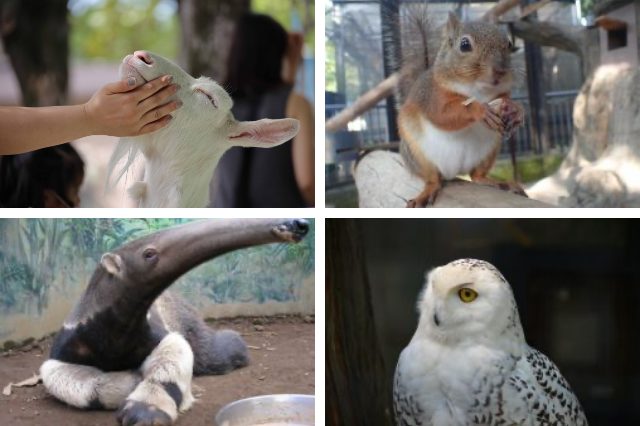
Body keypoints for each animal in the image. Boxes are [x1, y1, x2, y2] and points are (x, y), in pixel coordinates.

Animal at [400, 11, 524, 208]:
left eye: (509, 44)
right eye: (464, 45)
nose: (500, 70)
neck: (477, 90)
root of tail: (454, 171)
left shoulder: (502, 93)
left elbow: (508, 101)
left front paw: (516, 110)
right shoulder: (434, 97)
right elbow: (443, 115)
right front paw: (481, 111)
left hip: (489, 150)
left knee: (476, 176)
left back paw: (499, 183)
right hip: (417, 155)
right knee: (433, 179)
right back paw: (426, 193)